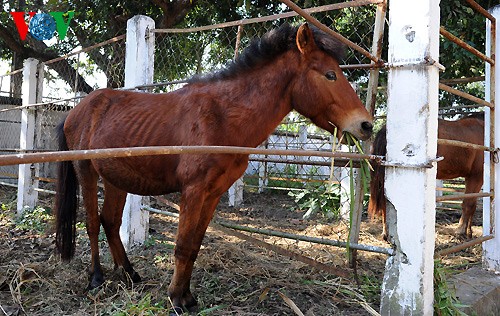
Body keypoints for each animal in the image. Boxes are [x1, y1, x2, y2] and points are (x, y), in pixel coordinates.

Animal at [56, 23, 374, 312]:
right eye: (330, 74)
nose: (366, 125)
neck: (223, 117)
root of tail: (76, 111)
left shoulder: (213, 193)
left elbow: (195, 246)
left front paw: (187, 296)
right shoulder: (193, 191)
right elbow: (183, 246)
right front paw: (176, 299)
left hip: (115, 179)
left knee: (110, 222)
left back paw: (129, 274)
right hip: (86, 171)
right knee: (93, 222)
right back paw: (96, 278)